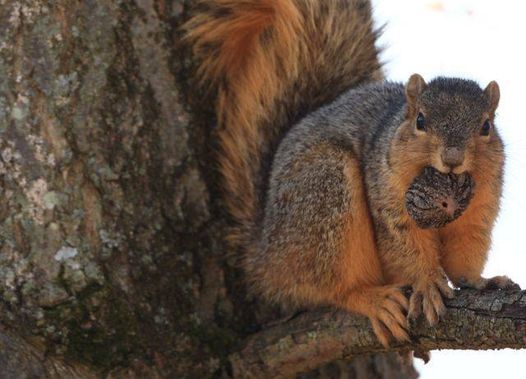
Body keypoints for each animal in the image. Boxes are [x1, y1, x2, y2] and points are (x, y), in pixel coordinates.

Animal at [184, 0, 516, 348]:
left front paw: (480, 281)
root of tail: (264, 255)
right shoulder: (387, 197)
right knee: (330, 287)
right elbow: (404, 244)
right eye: (420, 121)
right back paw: (372, 300)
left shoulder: (480, 208)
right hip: (325, 198)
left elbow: (466, 251)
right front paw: (426, 282)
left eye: (486, 126)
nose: (452, 158)